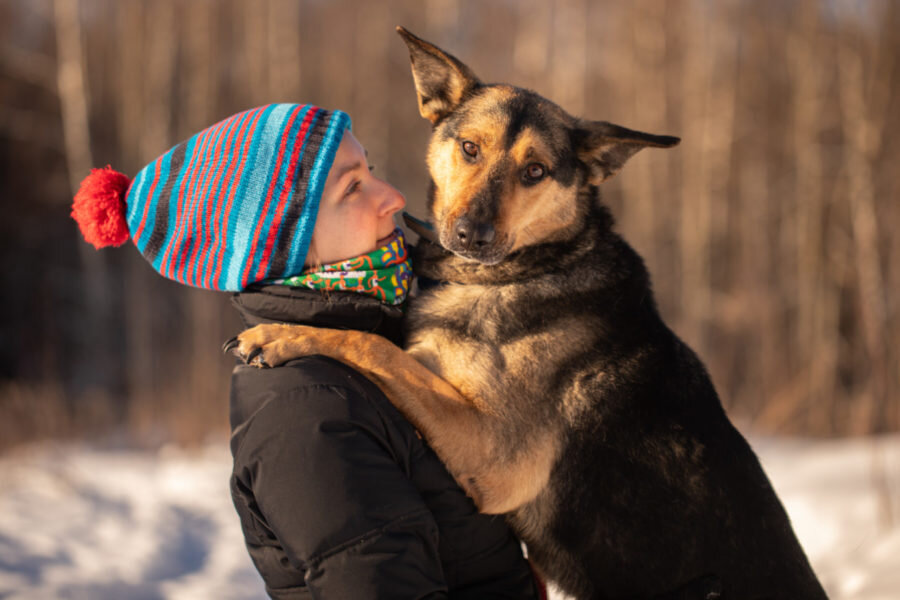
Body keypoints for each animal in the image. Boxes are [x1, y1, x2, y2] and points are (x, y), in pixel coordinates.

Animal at [229, 25, 828, 596]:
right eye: (470, 148)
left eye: (536, 172)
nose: (471, 234)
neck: (528, 269)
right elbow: (386, 347)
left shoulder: (494, 454)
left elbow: (375, 346)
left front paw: (279, 334)